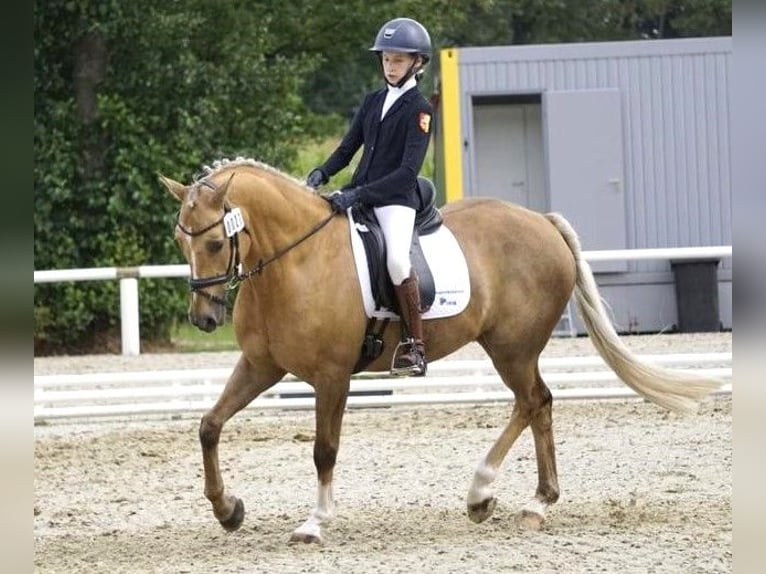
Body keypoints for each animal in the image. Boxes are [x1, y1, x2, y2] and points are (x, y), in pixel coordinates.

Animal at [159, 159, 724, 544]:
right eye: (181, 242)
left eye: (214, 243)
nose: (203, 318)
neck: (294, 261)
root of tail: (541, 221)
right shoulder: (261, 366)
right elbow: (209, 425)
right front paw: (227, 509)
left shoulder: (332, 377)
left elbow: (324, 450)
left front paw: (314, 524)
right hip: (510, 348)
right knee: (537, 405)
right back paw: (521, 501)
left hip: (512, 347)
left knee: (532, 402)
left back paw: (498, 495)